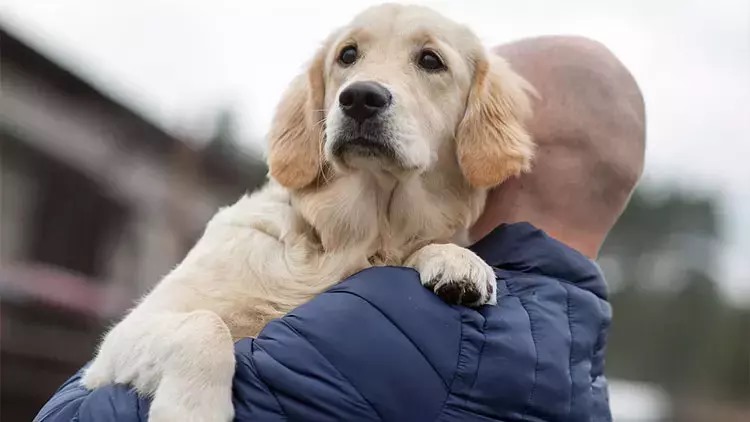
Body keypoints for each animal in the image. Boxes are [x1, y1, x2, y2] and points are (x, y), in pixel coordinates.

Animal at [81, 4, 536, 422]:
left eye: (430, 60)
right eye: (347, 55)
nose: (360, 98)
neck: (353, 234)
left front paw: (456, 259)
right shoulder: (124, 338)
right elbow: (204, 326)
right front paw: (193, 411)